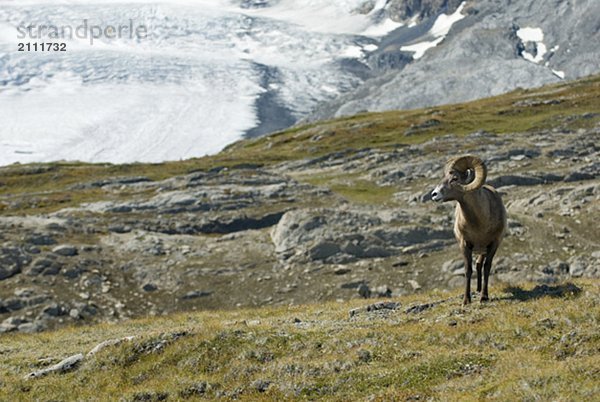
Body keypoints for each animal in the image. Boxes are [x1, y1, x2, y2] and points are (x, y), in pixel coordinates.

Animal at [432, 155, 506, 304]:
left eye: (454, 178)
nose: (434, 194)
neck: (479, 225)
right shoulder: (465, 245)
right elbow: (468, 270)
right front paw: (466, 300)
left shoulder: (493, 244)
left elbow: (487, 268)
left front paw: (484, 297)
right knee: (477, 266)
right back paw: (477, 290)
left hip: (482, 251)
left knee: (480, 265)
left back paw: (480, 291)